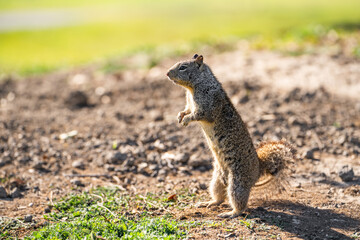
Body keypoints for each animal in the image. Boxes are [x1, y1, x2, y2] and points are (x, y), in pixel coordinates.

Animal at [166, 54, 296, 218]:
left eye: (183, 67)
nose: (167, 73)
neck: (192, 88)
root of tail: (257, 171)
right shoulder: (189, 103)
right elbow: (187, 109)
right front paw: (180, 116)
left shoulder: (208, 104)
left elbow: (199, 114)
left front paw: (186, 120)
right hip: (217, 179)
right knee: (220, 197)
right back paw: (209, 202)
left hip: (237, 183)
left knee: (239, 204)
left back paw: (230, 213)